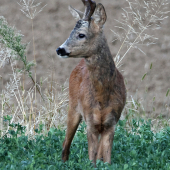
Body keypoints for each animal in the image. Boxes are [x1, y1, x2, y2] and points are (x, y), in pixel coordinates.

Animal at [56, 0, 126, 165]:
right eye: (70, 32)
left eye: (81, 34)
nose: (59, 49)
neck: (103, 98)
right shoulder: (90, 122)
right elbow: (91, 160)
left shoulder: (111, 123)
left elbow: (106, 160)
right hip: (73, 107)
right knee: (65, 144)